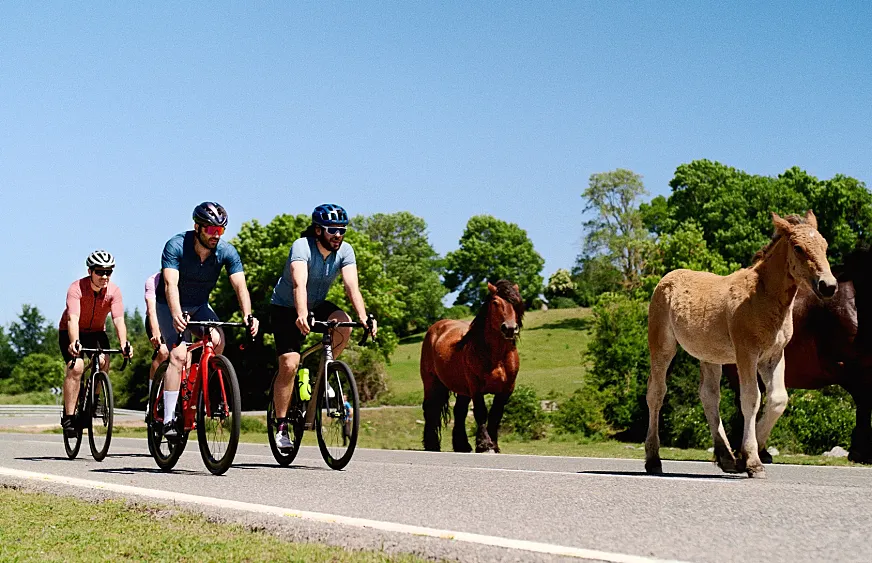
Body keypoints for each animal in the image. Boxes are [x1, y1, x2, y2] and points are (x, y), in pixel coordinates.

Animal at [420, 280, 524, 456]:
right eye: (495, 302)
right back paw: (431, 445)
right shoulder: (476, 387)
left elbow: (496, 414)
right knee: (431, 410)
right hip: (431, 383)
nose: (510, 328)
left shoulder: (506, 389)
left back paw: (461, 446)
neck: (496, 357)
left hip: (463, 390)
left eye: (516, 303)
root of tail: (436, 327)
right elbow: (481, 413)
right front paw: (484, 445)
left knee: (459, 412)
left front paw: (494, 445)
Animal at [648, 209, 836, 478]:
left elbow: (778, 399)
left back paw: (726, 457)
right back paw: (653, 460)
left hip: (710, 354)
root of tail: (666, 278)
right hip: (662, 346)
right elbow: (751, 398)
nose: (828, 286)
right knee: (656, 392)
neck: (763, 296)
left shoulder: (774, 355)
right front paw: (753, 461)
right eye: (798, 248)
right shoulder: (746, 352)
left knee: (709, 395)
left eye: (825, 245)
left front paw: (742, 455)